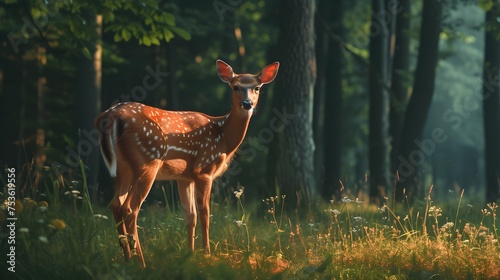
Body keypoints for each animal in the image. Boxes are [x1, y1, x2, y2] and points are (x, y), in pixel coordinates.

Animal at [95, 59, 280, 266]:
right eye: (236, 87)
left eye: (257, 87)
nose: (247, 104)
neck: (223, 137)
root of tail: (110, 115)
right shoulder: (204, 169)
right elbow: (204, 213)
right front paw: (207, 253)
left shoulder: (184, 177)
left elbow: (190, 215)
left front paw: (189, 253)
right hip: (147, 161)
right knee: (130, 208)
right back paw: (142, 262)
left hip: (123, 167)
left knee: (115, 204)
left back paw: (127, 259)